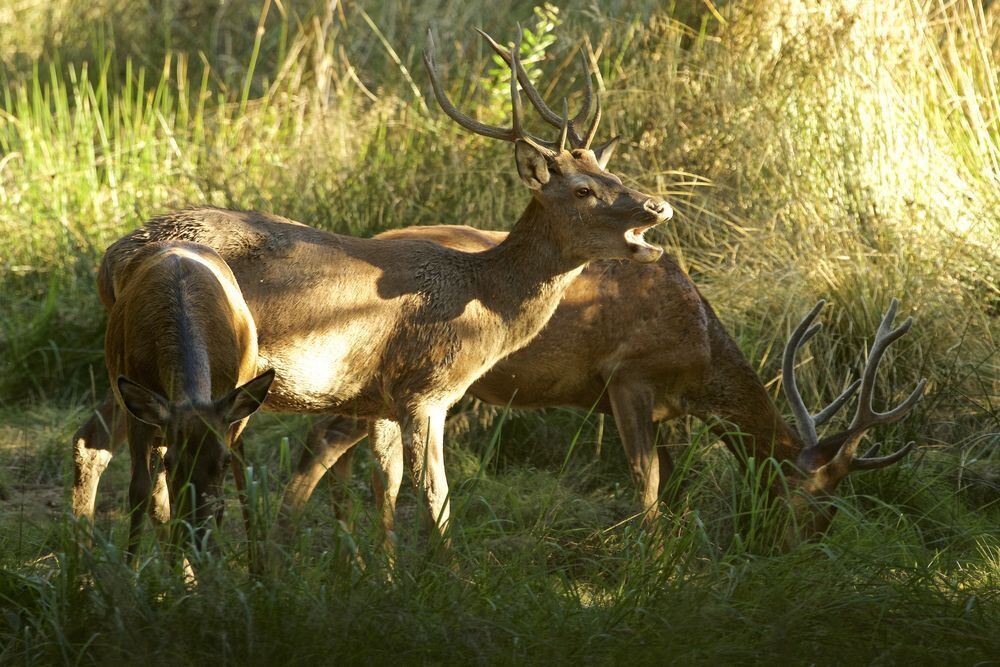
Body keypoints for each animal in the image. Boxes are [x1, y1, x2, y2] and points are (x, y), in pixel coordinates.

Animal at [101, 237, 274, 560]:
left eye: (221, 461)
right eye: (172, 462)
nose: (197, 535)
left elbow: (220, 502)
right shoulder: (139, 414)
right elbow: (139, 492)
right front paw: (135, 568)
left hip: (238, 415)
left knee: (243, 482)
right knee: (159, 497)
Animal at [280, 224, 920, 548]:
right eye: (818, 503)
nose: (792, 554)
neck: (698, 344)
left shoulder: (650, 407)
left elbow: (673, 480)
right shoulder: (628, 376)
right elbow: (647, 480)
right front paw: (653, 564)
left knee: (332, 439)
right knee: (324, 439)